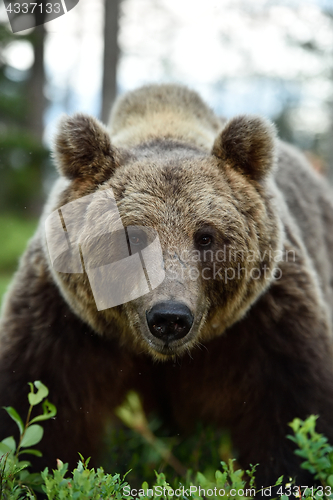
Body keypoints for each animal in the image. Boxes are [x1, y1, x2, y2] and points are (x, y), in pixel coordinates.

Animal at [0, 85, 332, 488]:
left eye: (205, 236)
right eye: (132, 236)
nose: (169, 317)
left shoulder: (269, 325)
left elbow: (292, 418)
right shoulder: (59, 325)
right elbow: (38, 415)